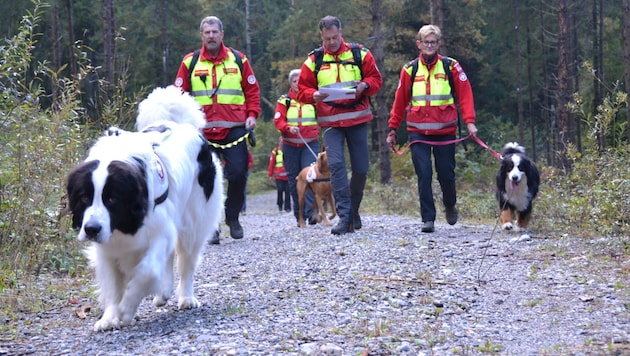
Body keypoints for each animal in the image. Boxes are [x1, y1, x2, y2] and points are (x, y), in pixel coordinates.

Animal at [66, 85, 225, 330]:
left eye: (112, 199)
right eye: (84, 198)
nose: (91, 229)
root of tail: (183, 125)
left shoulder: (161, 230)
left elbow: (146, 270)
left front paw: (126, 309)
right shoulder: (107, 248)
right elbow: (112, 282)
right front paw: (110, 317)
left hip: (195, 219)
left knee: (187, 260)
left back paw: (186, 298)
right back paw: (163, 294)